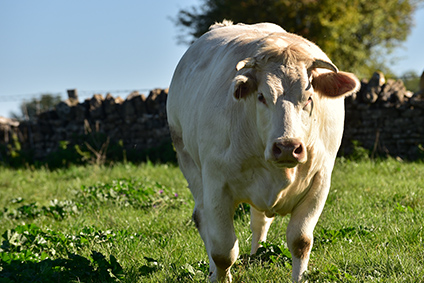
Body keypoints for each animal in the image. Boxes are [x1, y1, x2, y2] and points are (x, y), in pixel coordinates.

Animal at [167, 21, 360, 282]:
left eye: (309, 98)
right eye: (261, 96)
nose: (287, 147)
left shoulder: (320, 181)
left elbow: (301, 241)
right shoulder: (216, 185)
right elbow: (223, 251)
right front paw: (220, 274)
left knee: (259, 220)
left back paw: (257, 254)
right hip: (187, 159)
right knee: (202, 217)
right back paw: (212, 271)